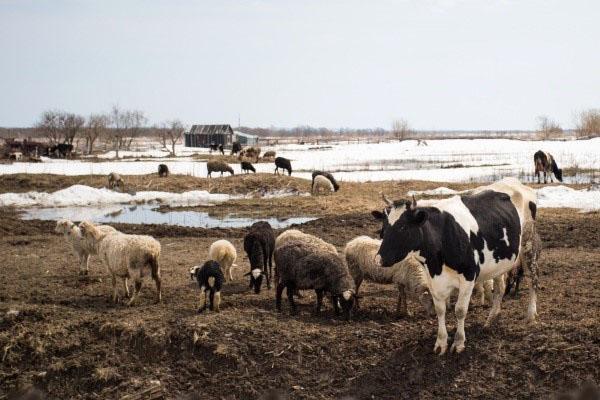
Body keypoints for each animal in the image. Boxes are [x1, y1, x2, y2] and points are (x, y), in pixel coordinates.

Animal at [372, 180, 536, 354]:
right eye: (384, 227)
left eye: (403, 227)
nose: (379, 259)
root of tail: (513, 182)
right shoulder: (432, 279)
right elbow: (440, 310)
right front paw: (441, 343)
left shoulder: (469, 276)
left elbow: (460, 310)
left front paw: (458, 342)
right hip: (500, 260)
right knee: (500, 287)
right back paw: (491, 319)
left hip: (528, 243)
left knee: (533, 278)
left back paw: (531, 314)